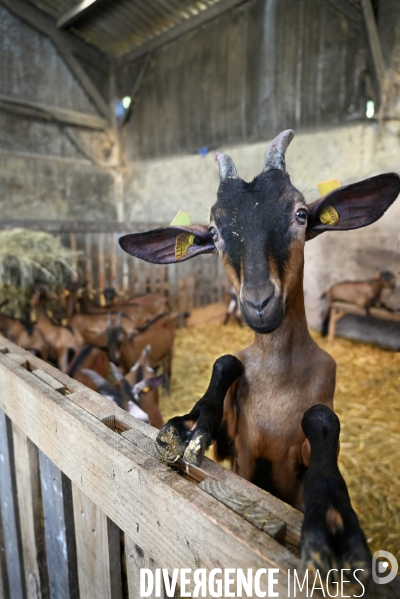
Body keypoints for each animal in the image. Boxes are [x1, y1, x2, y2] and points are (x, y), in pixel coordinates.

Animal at [119, 129, 400, 584]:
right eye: (213, 231)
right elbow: (226, 363)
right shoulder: (236, 446)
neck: (278, 379)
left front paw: (333, 523)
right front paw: (188, 427)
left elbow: (321, 418)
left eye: (301, 214)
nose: (258, 303)